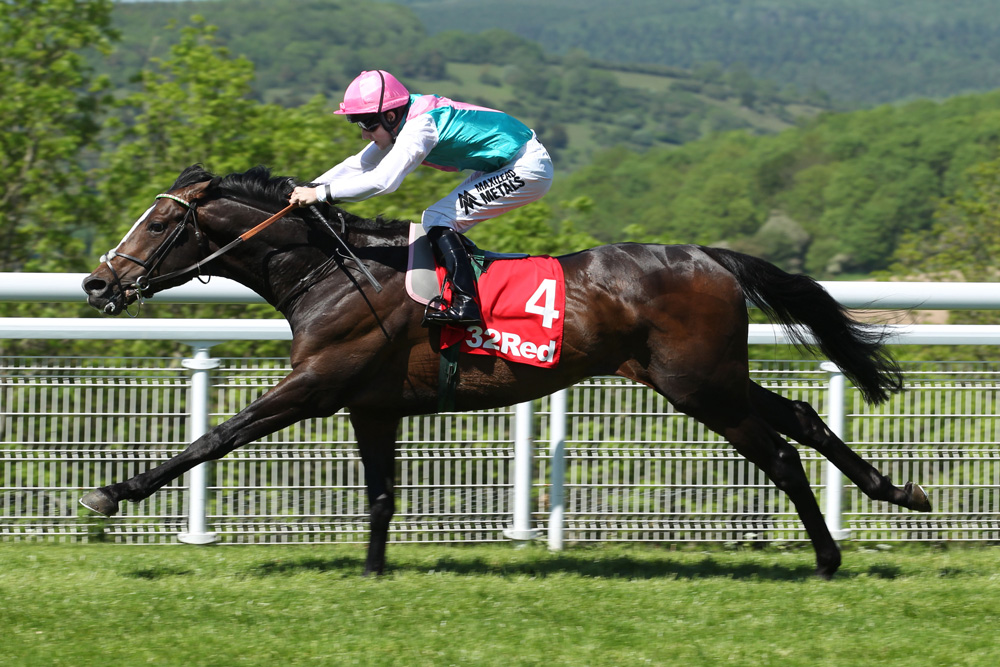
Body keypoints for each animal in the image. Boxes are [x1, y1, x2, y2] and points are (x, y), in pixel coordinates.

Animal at [82, 163, 932, 580]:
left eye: (159, 222)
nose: (97, 283)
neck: (335, 269)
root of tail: (712, 257)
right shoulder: (370, 405)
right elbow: (382, 495)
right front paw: (372, 573)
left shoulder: (317, 385)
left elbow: (217, 436)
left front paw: (115, 491)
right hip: (704, 376)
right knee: (804, 418)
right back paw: (897, 491)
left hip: (700, 387)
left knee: (782, 452)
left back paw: (827, 557)